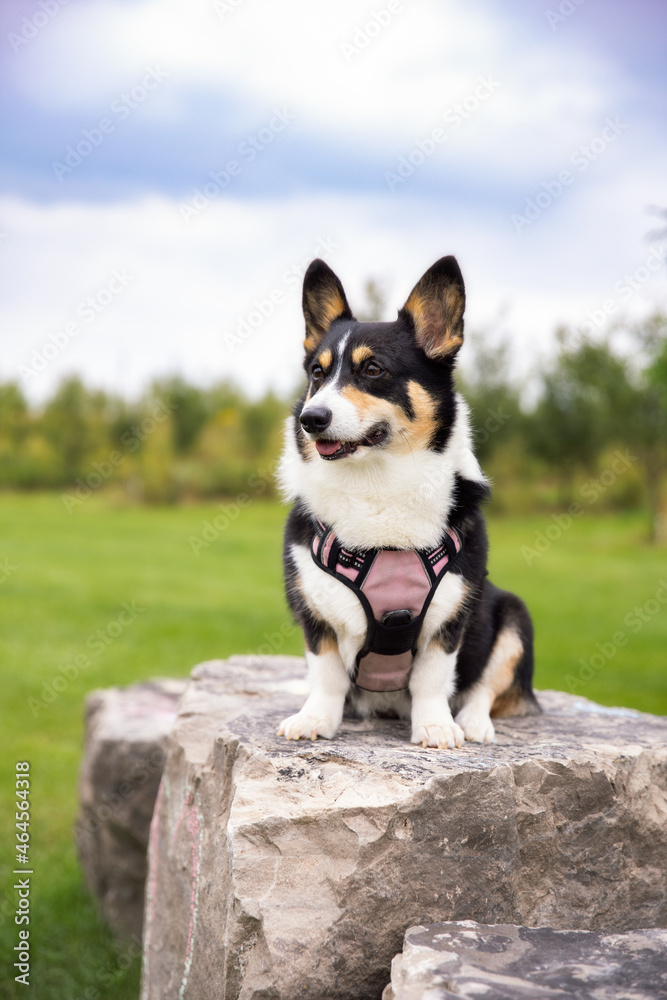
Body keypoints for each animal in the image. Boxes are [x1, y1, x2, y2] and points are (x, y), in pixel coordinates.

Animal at [276, 254, 536, 748]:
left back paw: (473, 723)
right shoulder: (314, 613)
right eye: (318, 374)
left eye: (373, 370)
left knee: (488, 689)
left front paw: (436, 727)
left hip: (515, 617)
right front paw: (314, 719)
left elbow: (433, 677)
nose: (310, 419)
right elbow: (327, 674)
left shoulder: (450, 619)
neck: (376, 485)